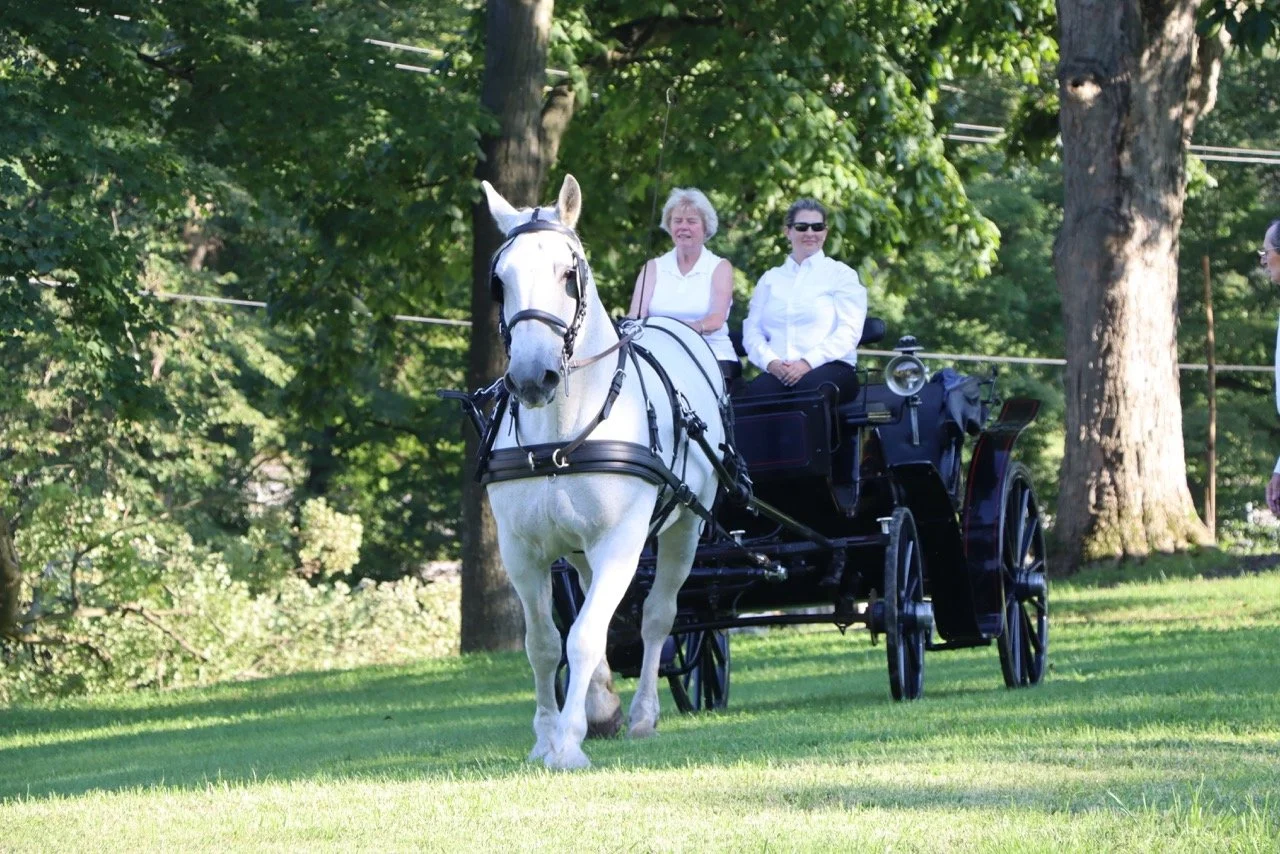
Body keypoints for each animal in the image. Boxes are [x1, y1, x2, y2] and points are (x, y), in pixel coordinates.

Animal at [479, 174, 727, 770]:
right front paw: (547, 734)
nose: (532, 377)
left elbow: (586, 638)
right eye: (500, 282)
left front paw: (567, 743)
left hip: (685, 528)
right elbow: (545, 643)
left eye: (568, 275)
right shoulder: (522, 551)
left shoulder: (621, 540)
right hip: (581, 548)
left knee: (659, 615)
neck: (558, 434)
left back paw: (641, 715)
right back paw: (605, 706)